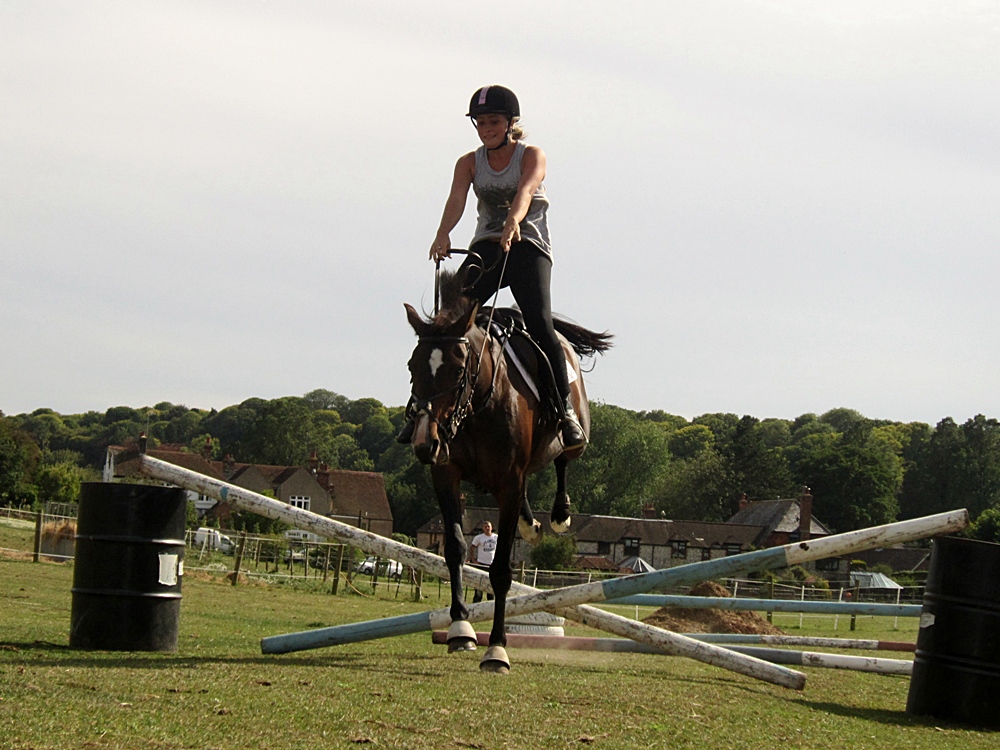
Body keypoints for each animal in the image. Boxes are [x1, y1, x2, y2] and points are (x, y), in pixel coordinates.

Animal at [403, 271, 612, 673]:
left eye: (457, 369)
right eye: (411, 367)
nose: (424, 442)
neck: (477, 406)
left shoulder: (508, 484)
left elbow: (500, 570)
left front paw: (496, 649)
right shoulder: (446, 476)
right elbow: (454, 549)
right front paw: (460, 629)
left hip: (571, 435)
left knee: (563, 458)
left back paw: (559, 514)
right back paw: (531, 524)